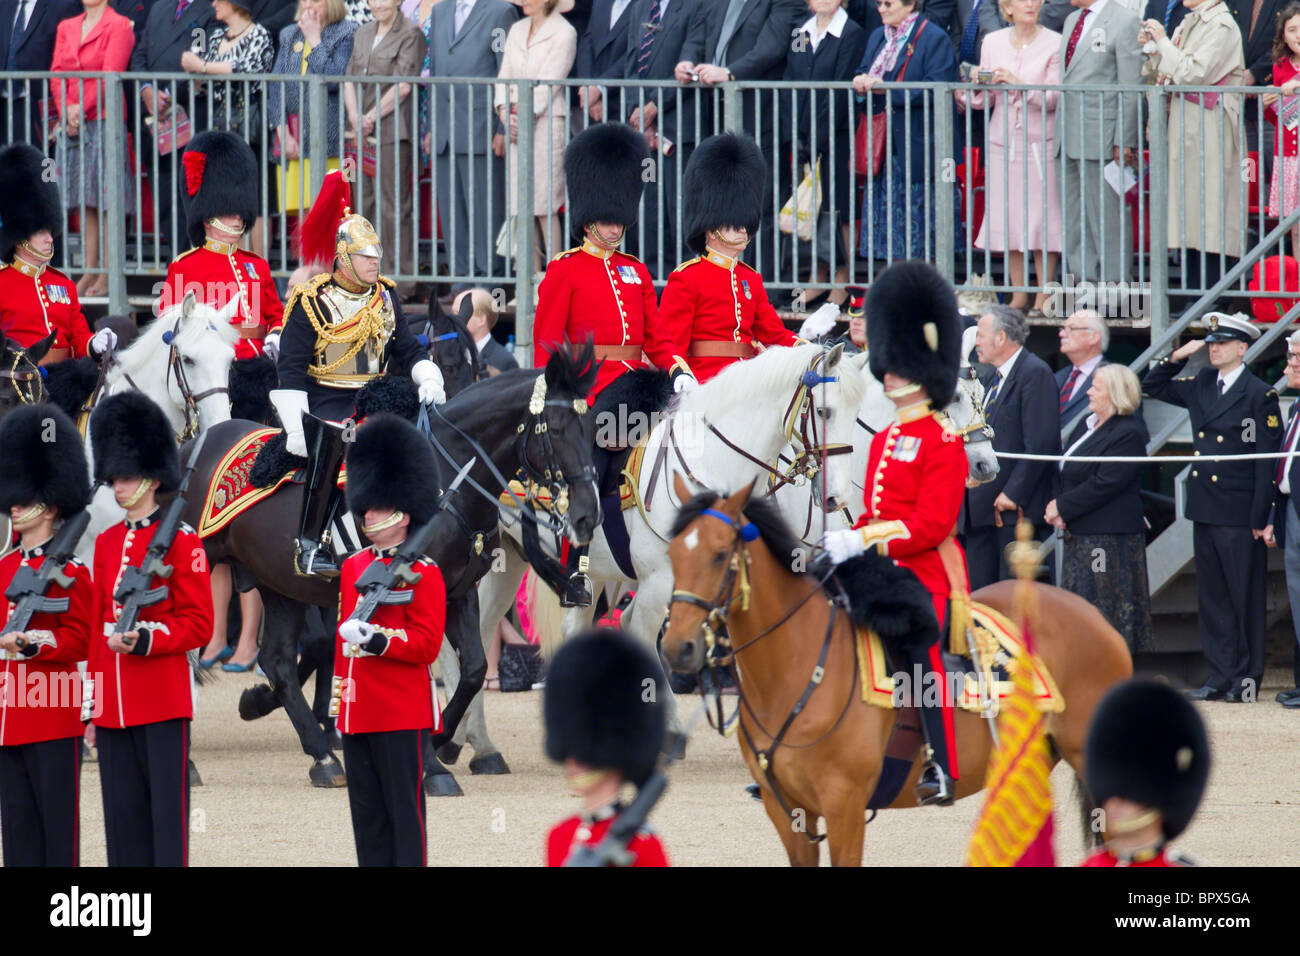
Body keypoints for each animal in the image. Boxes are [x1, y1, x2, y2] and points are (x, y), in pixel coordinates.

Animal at [180, 348, 600, 790]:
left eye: (591, 427)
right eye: (556, 429)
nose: (587, 516)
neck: (448, 480)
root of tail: (193, 444)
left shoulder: (459, 591)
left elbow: (473, 669)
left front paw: (439, 741)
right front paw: (431, 763)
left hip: (279, 584)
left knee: (277, 661)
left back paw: (321, 756)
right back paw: (191, 761)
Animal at [665, 478, 1133, 868]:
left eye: (720, 555)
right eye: (671, 555)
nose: (676, 648)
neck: (795, 671)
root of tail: (1096, 616)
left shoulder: (844, 806)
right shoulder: (788, 813)